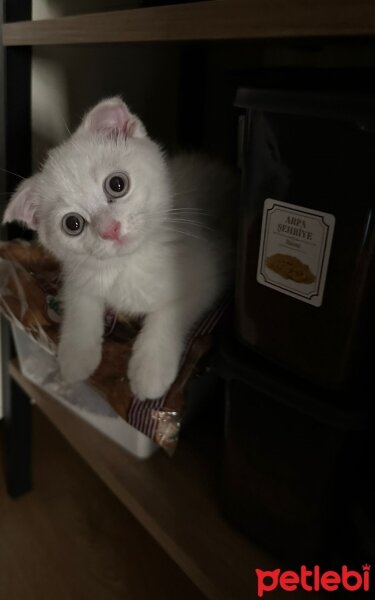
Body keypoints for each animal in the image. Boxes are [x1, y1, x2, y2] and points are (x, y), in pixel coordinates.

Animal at [2, 97, 236, 398]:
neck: (129, 263)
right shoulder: (78, 270)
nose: (110, 230)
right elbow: (80, 298)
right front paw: (76, 356)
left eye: (117, 184)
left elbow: (170, 314)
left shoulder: (207, 273)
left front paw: (150, 370)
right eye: (73, 224)